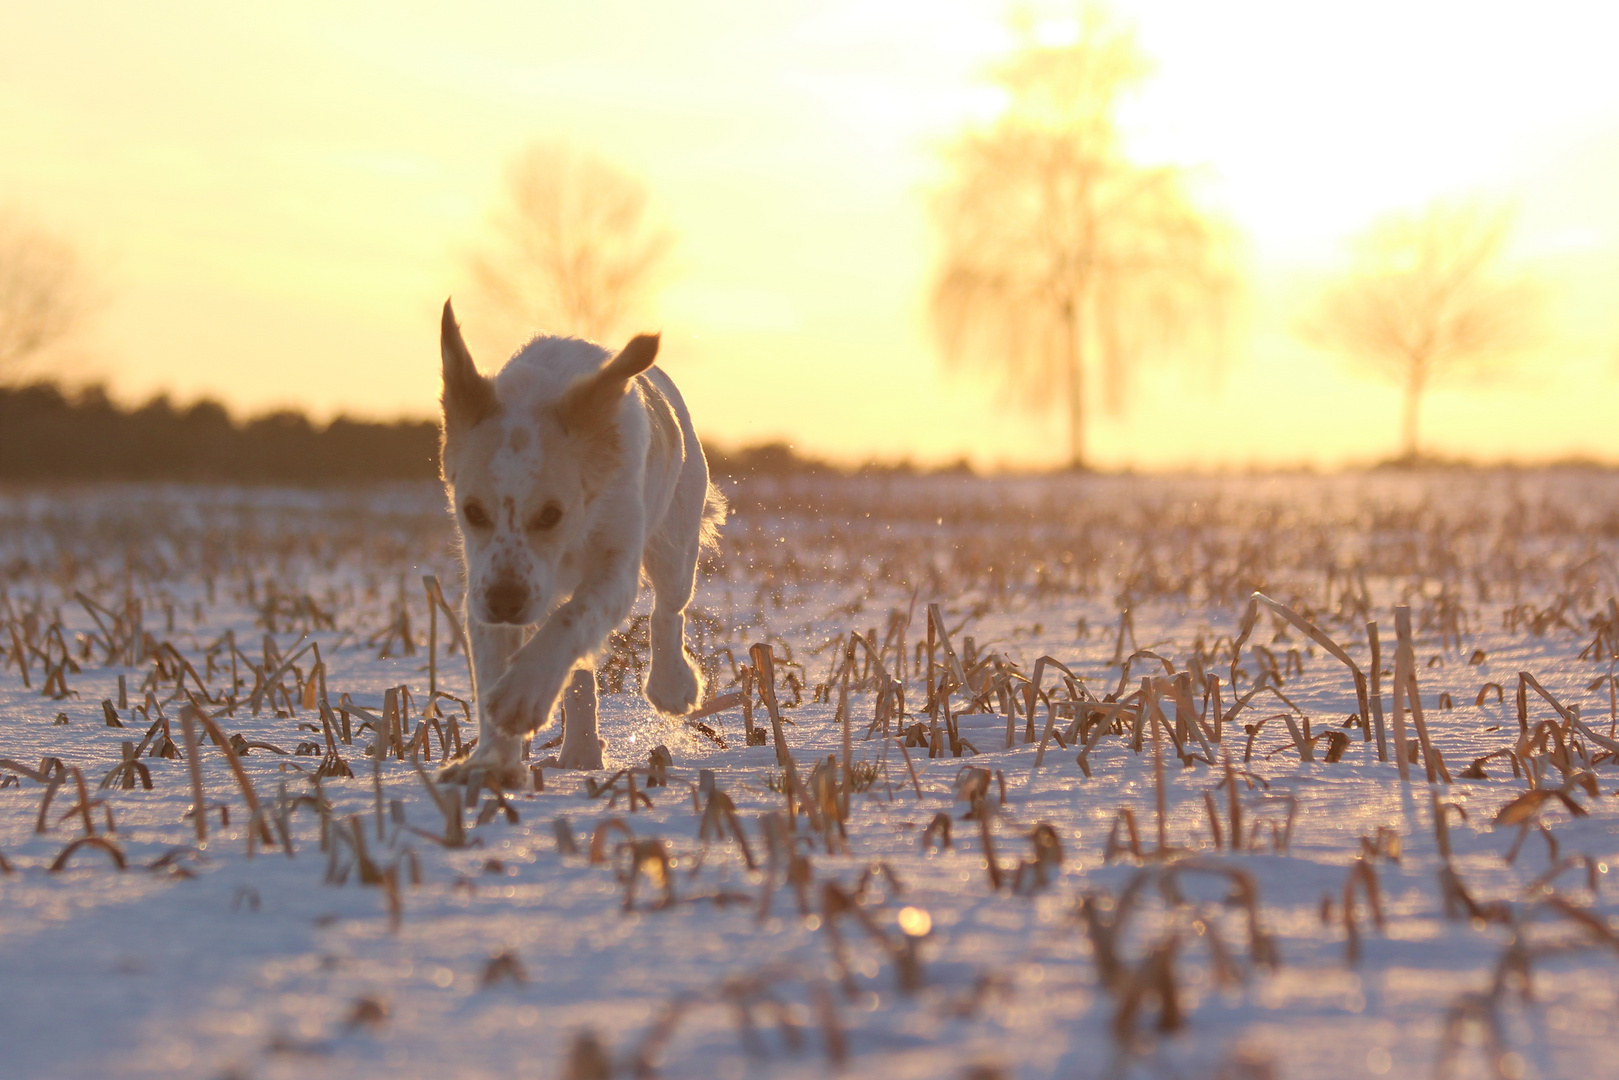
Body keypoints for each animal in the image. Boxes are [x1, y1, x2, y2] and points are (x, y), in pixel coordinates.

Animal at [437, 299, 728, 780]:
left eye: (551, 513)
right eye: (472, 511)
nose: (505, 603)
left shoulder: (615, 566)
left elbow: (570, 622)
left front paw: (522, 694)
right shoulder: (483, 580)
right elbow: (497, 660)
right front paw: (492, 762)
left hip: (676, 544)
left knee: (668, 612)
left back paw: (671, 686)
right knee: (580, 673)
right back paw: (580, 751)